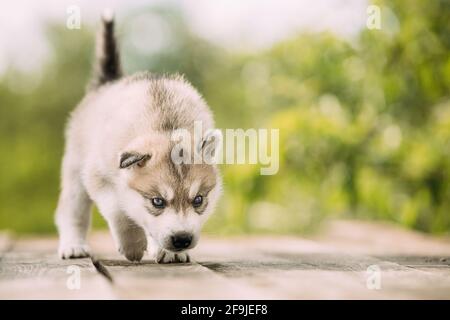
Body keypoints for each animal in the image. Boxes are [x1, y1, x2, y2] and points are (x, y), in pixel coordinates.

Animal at [55, 12, 222, 262]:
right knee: (72, 211)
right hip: (75, 171)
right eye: (157, 201)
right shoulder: (98, 174)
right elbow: (118, 208)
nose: (182, 239)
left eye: (198, 199)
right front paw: (132, 244)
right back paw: (73, 246)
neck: (165, 126)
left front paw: (166, 251)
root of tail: (108, 82)